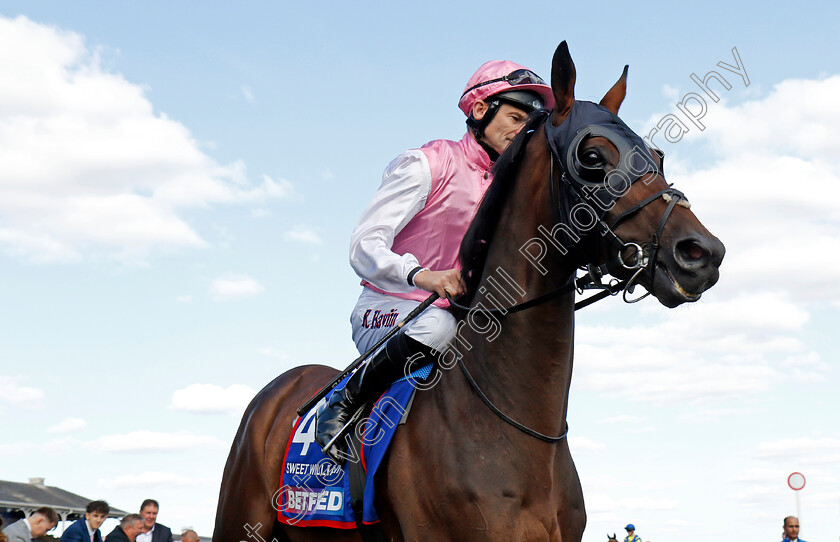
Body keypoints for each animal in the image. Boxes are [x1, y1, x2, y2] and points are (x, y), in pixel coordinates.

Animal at [210, 42, 720, 542]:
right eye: (592, 157)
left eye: (657, 157)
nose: (702, 253)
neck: (519, 430)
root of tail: (280, 386)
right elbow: (368, 240)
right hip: (238, 517)